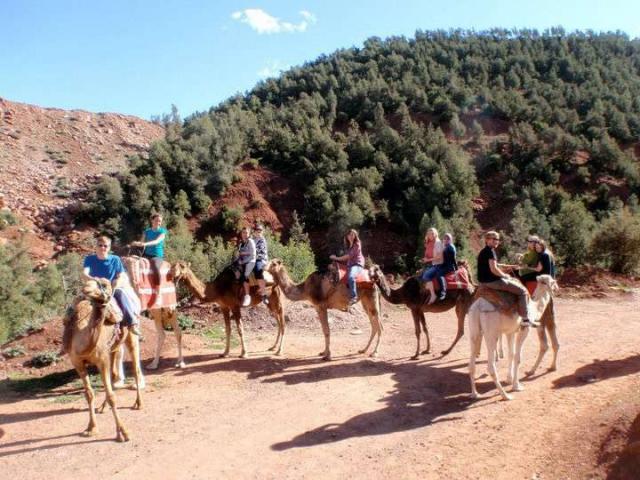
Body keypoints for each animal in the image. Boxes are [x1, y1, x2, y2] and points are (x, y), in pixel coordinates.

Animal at [62, 279, 143, 441]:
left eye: (104, 285)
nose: (86, 288)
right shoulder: (77, 362)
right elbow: (89, 394)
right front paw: (91, 428)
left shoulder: (102, 359)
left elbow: (111, 396)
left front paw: (123, 433)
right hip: (112, 349)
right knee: (112, 376)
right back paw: (102, 407)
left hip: (131, 336)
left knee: (136, 369)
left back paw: (138, 404)